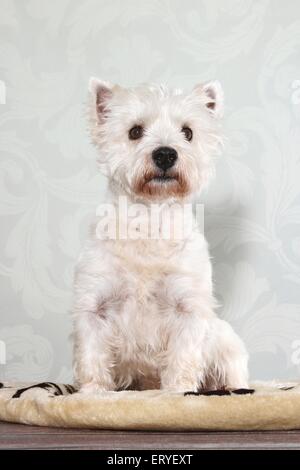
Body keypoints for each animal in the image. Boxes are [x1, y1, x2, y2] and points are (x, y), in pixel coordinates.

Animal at [71, 79, 248, 394]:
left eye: (188, 132)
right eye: (134, 131)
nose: (165, 154)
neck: (150, 220)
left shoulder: (187, 306)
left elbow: (183, 355)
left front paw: (178, 391)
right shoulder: (95, 303)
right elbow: (92, 354)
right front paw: (94, 392)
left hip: (227, 343)